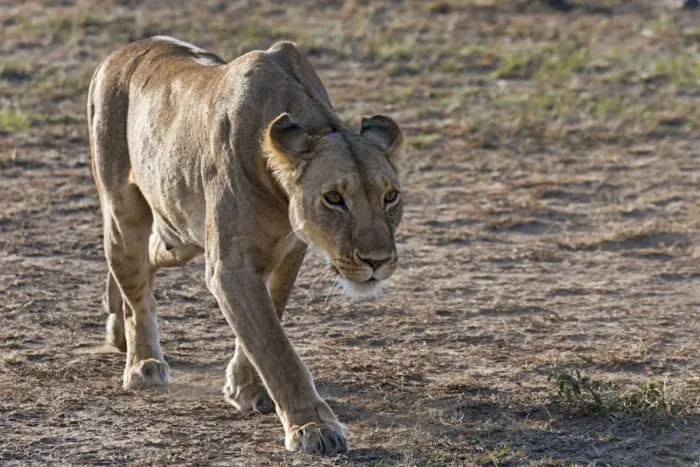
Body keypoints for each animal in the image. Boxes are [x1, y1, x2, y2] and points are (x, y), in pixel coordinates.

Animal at [87, 36, 403, 455]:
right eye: (334, 198)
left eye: (391, 197)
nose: (377, 261)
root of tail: (120, 51)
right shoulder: (230, 266)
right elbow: (274, 345)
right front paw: (313, 428)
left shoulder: (289, 252)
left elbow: (268, 319)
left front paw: (245, 386)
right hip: (123, 211)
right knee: (137, 287)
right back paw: (142, 364)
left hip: (179, 234)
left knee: (150, 257)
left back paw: (116, 327)